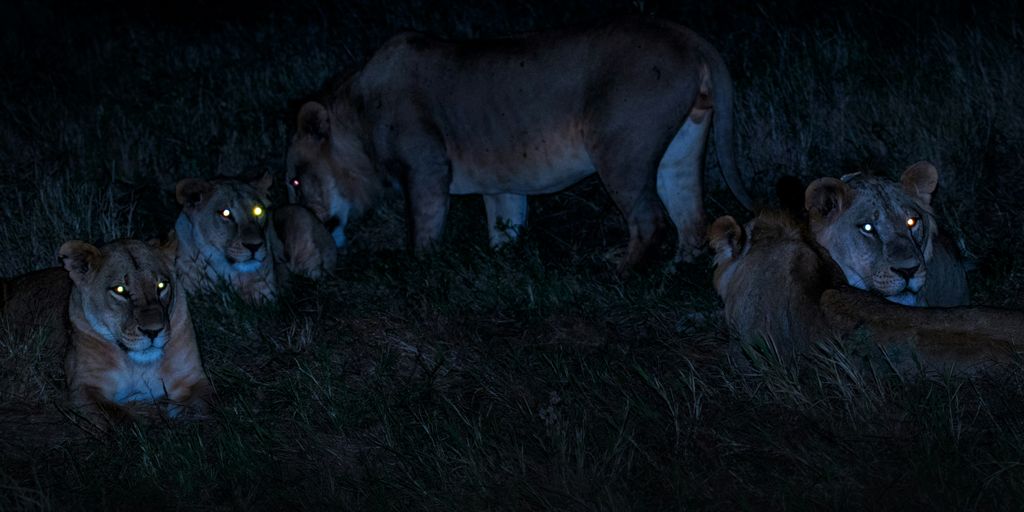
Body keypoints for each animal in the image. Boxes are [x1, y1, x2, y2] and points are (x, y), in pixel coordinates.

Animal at [1, 237, 212, 423]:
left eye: (161, 285)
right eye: (120, 290)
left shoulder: (193, 379)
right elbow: (117, 417)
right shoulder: (84, 387)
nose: (153, 331)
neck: (138, 364)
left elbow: (203, 406)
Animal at [286, 17, 753, 271]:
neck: (358, 112)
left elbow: (423, 229)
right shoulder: (501, 185)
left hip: (619, 148)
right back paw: (673, 273)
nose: (304, 224)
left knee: (650, 219)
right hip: (682, 146)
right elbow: (504, 225)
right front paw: (502, 262)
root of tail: (688, 36)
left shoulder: (426, 168)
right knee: (690, 218)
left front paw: (421, 269)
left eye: (294, 182)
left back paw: (619, 272)